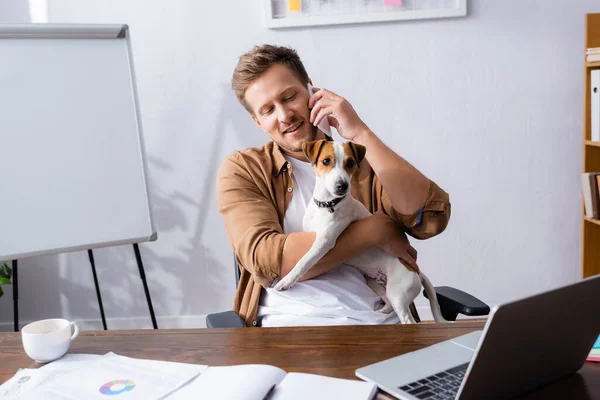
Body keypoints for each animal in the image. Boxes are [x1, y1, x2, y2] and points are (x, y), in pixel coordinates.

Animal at [274, 139, 448, 324]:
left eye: (350, 163)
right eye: (326, 161)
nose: (342, 186)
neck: (327, 204)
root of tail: (416, 271)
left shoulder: (324, 242)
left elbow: (303, 262)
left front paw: (286, 281)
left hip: (398, 294)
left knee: (408, 320)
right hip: (375, 283)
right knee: (388, 304)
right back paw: (381, 313)